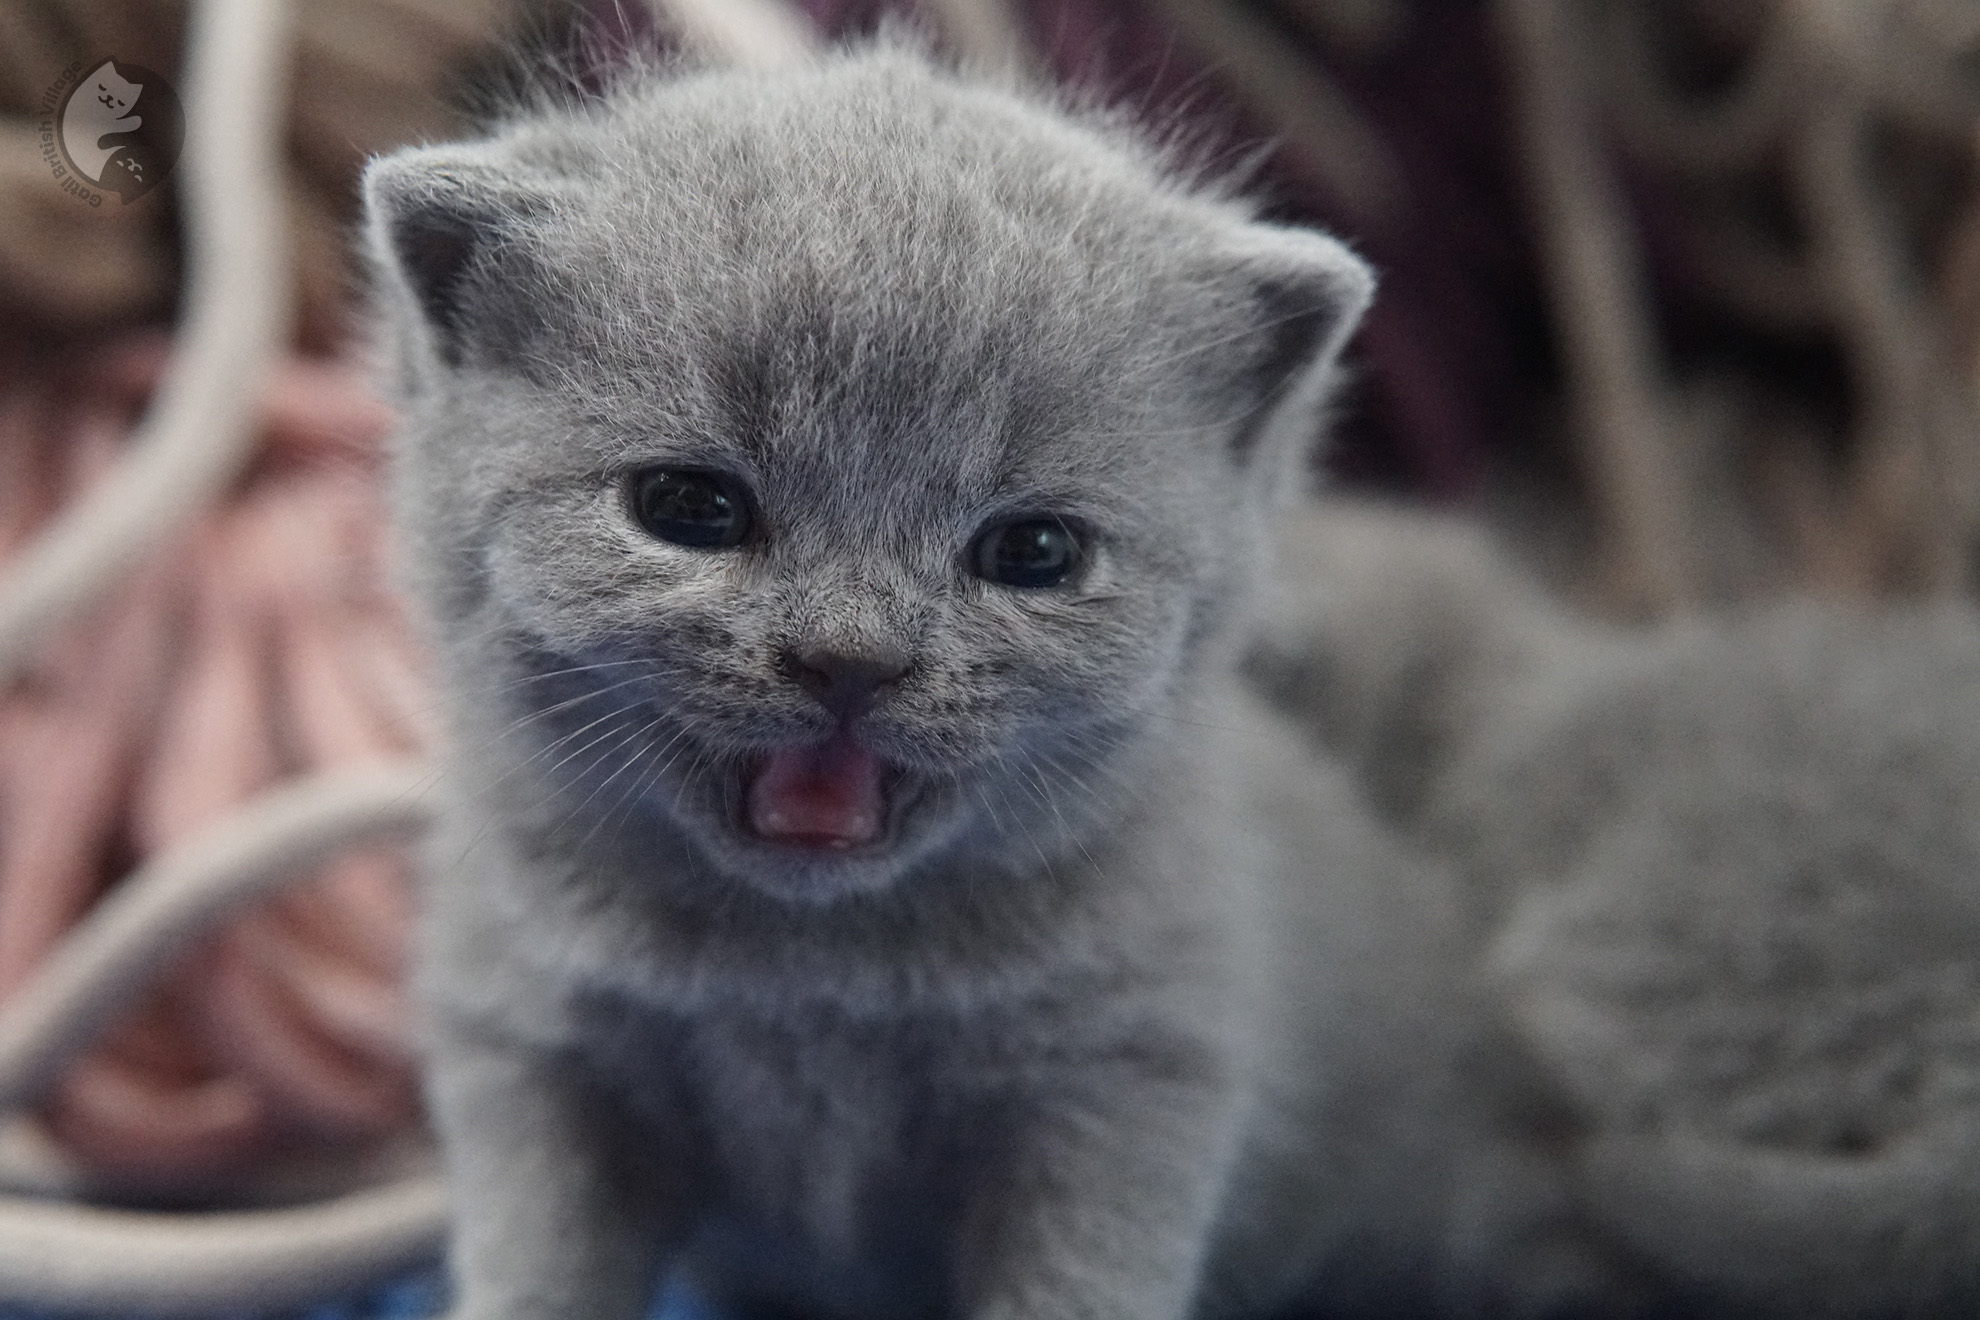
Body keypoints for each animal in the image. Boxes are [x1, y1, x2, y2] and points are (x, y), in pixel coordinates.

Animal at [360, 41, 1591, 1320]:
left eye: (1034, 551)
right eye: (688, 507)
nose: (850, 657)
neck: (807, 972)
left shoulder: (1130, 1086)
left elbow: (1079, 1284)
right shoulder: (529, 1054)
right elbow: (538, 1267)